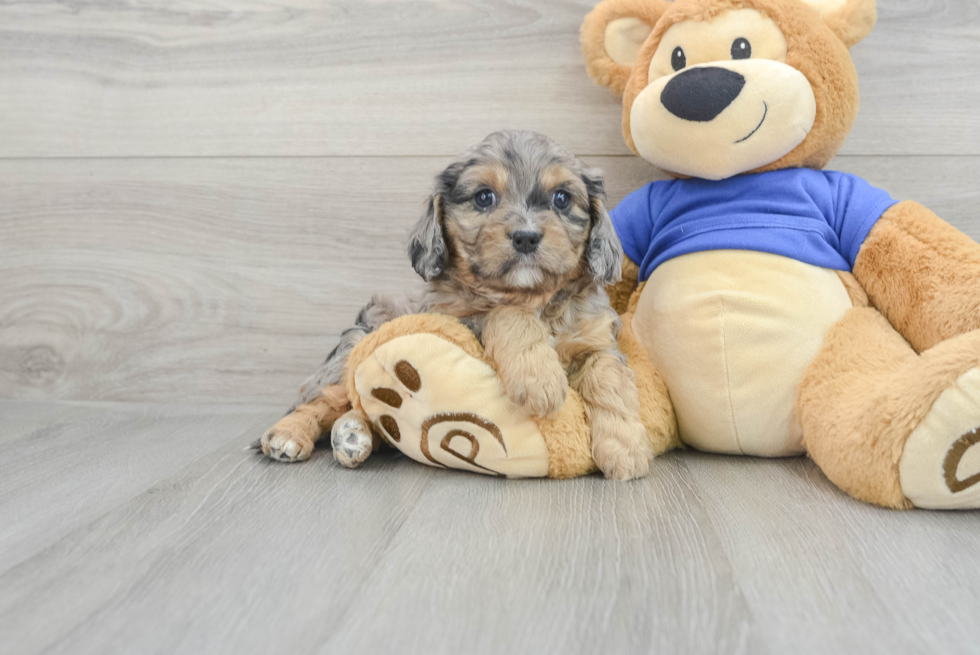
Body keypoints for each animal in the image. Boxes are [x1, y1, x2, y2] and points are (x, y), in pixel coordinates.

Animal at [256, 131, 656, 480]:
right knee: (321, 400)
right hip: (352, 351)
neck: (534, 298)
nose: (526, 237)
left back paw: (355, 435)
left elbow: (607, 375)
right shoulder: (453, 319)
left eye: (561, 199)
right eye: (483, 197)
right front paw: (539, 378)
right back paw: (290, 434)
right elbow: (506, 314)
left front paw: (625, 449)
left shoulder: (597, 340)